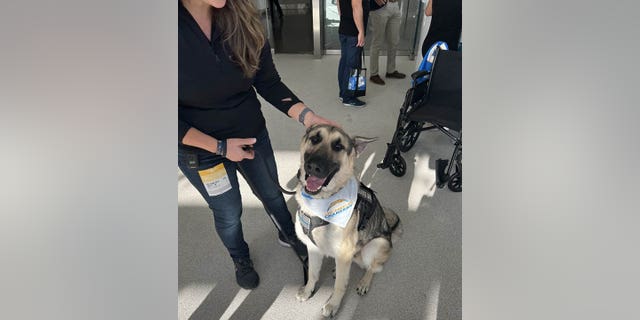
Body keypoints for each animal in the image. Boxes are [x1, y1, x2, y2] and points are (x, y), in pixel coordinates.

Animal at [294, 124, 402, 316]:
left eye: (338, 146)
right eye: (315, 138)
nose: (313, 167)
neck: (321, 202)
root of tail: (390, 231)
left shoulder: (344, 253)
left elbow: (339, 286)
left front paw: (332, 305)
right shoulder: (313, 249)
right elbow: (313, 274)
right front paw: (307, 292)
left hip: (375, 245)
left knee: (374, 267)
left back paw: (364, 282)